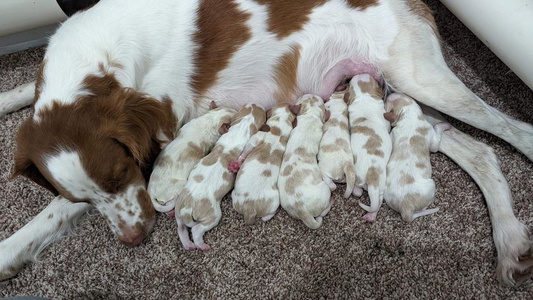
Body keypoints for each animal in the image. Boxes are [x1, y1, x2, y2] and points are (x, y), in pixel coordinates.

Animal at [175, 104, 266, 250]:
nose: (257, 104)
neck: (243, 125)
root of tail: (187, 209)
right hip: (212, 216)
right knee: (196, 230)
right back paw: (202, 246)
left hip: (178, 211)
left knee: (181, 229)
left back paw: (188, 245)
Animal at [380, 94, 450, 223]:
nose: (387, 95)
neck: (409, 117)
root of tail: (406, 206)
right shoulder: (433, 139)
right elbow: (437, 132)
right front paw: (445, 125)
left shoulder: (393, 134)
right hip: (431, 185)